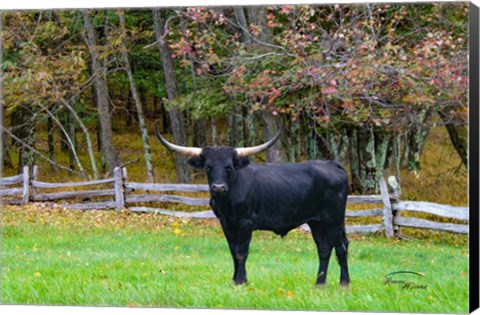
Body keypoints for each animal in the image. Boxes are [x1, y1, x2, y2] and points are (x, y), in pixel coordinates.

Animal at [156, 127, 350, 288]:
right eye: (208, 167)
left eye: (229, 167)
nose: (218, 187)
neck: (227, 202)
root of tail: (333, 164)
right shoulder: (226, 224)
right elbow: (233, 252)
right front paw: (236, 280)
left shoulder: (245, 223)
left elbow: (242, 252)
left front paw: (241, 281)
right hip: (316, 222)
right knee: (324, 249)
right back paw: (319, 283)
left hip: (333, 219)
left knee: (341, 246)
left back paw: (344, 283)